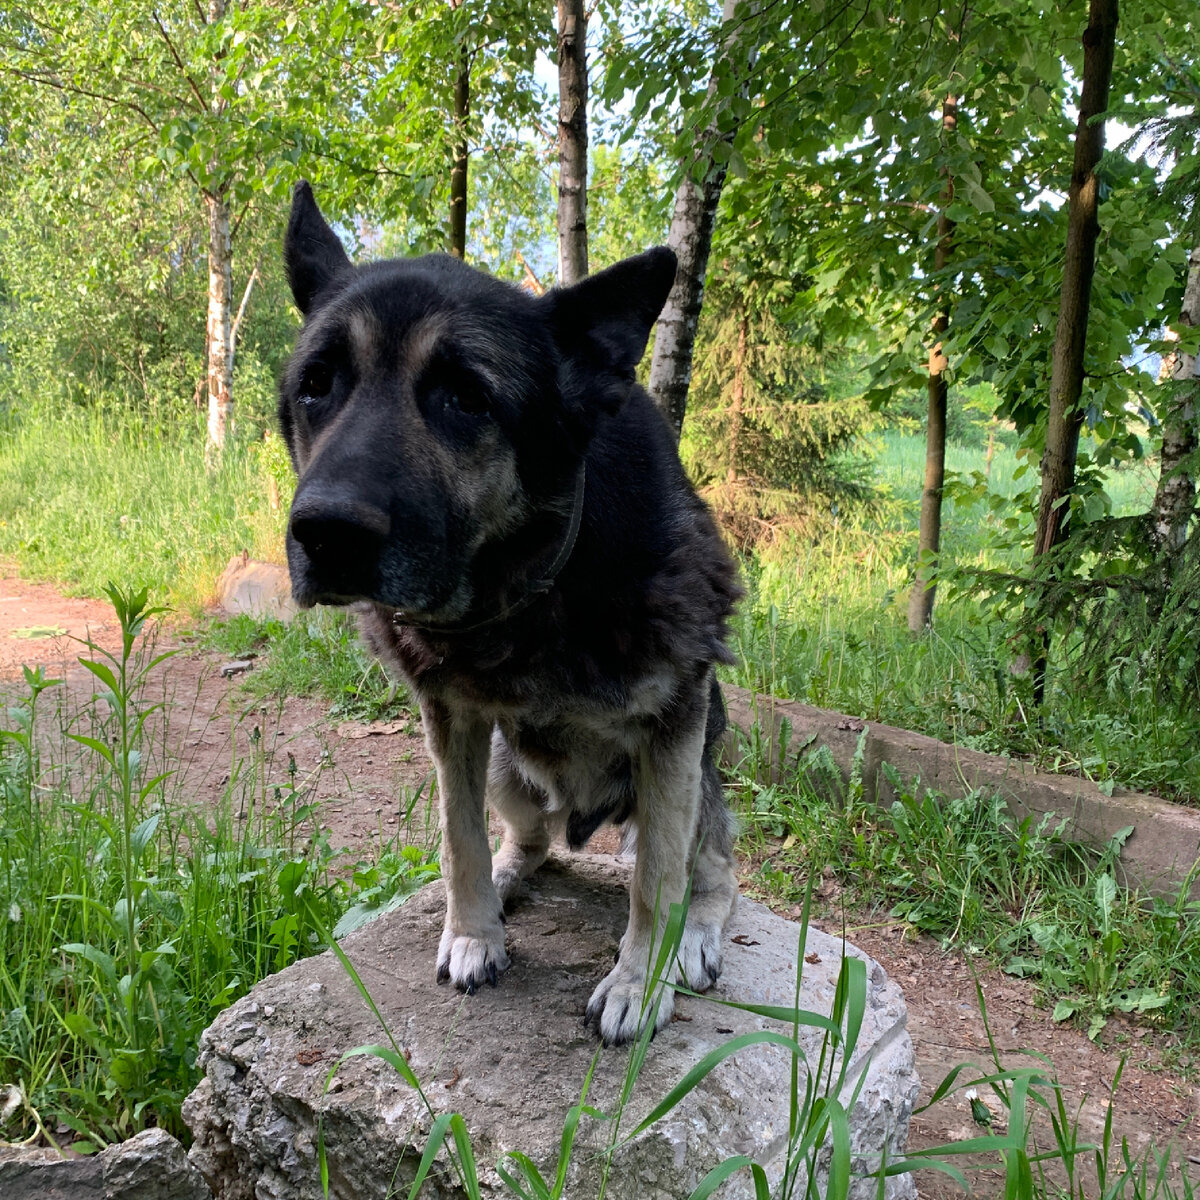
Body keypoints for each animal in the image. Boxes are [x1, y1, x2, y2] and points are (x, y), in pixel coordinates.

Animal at [278, 182, 739, 1046]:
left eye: (466, 397)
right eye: (316, 384)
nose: (325, 535)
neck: (532, 586)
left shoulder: (675, 726)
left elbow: (657, 879)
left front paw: (640, 981)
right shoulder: (453, 717)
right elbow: (456, 836)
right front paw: (472, 934)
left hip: (697, 774)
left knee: (716, 866)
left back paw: (697, 934)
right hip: (504, 763)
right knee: (528, 838)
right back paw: (506, 880)